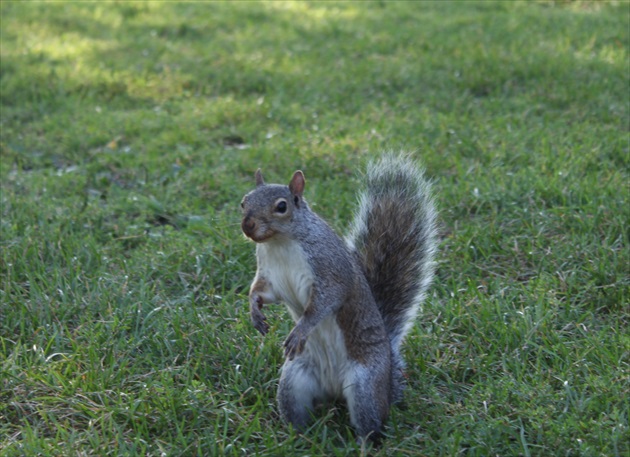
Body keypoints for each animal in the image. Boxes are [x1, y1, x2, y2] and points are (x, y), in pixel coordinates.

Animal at [242, 154, 440, 442]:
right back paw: (296, 436)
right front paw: (255, 313)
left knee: (371, 424)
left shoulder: (330, 271)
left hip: (364, 387)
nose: (247, 225)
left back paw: (362, 444)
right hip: (293, 381)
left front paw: (300, 330)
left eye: (281, 206)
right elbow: (261, 292)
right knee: (296, 411)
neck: (280, 243)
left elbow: (322, 304)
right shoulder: (269, 276)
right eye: (243, 201)